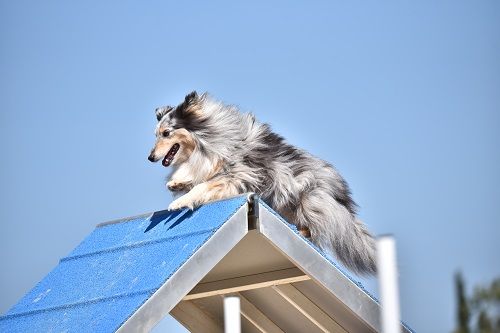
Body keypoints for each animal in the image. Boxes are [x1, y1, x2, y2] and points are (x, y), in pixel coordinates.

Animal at [147, 91, 376, 274]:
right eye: (155, 135)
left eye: (166, 133)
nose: (150, 157)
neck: (208, 139)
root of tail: (343, 198)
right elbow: (199, 178)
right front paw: (178, 183)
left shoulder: (237, 173)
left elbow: (205, 185)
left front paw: (179, 201)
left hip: (308, 200)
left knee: (315, 228)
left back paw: (300, 231)